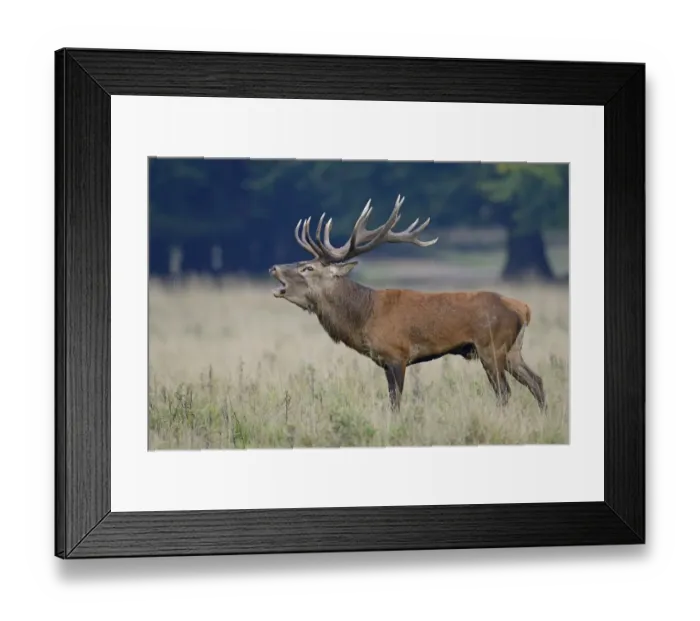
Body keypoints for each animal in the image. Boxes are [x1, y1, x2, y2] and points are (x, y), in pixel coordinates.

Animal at [269, 194, 546, 413]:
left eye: (307, 268)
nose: (274, 267)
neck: (364, 316)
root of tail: (524, 309)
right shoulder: (384, 360)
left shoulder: (397, 354)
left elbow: (395, 402)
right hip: (512, 350)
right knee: (537, 381)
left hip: (491, 346)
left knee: (505, 392)